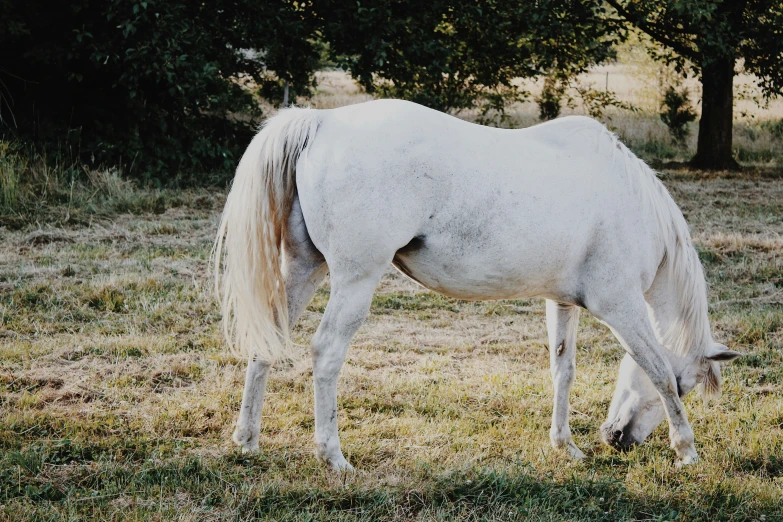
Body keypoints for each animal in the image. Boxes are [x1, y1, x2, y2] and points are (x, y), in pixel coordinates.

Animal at [213, 99, 740, 470]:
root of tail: (323, 123)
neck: (628, 202)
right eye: (689, 385)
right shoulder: (622, 308)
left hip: (305, 269)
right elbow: (656, 369)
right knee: (326, 353)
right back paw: (333, 456)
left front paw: (565, 446)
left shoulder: (561, 302)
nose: (617, 439)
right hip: (354, 279)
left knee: (267, 342)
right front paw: (686, 450)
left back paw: (247, 440)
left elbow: (563, 371)